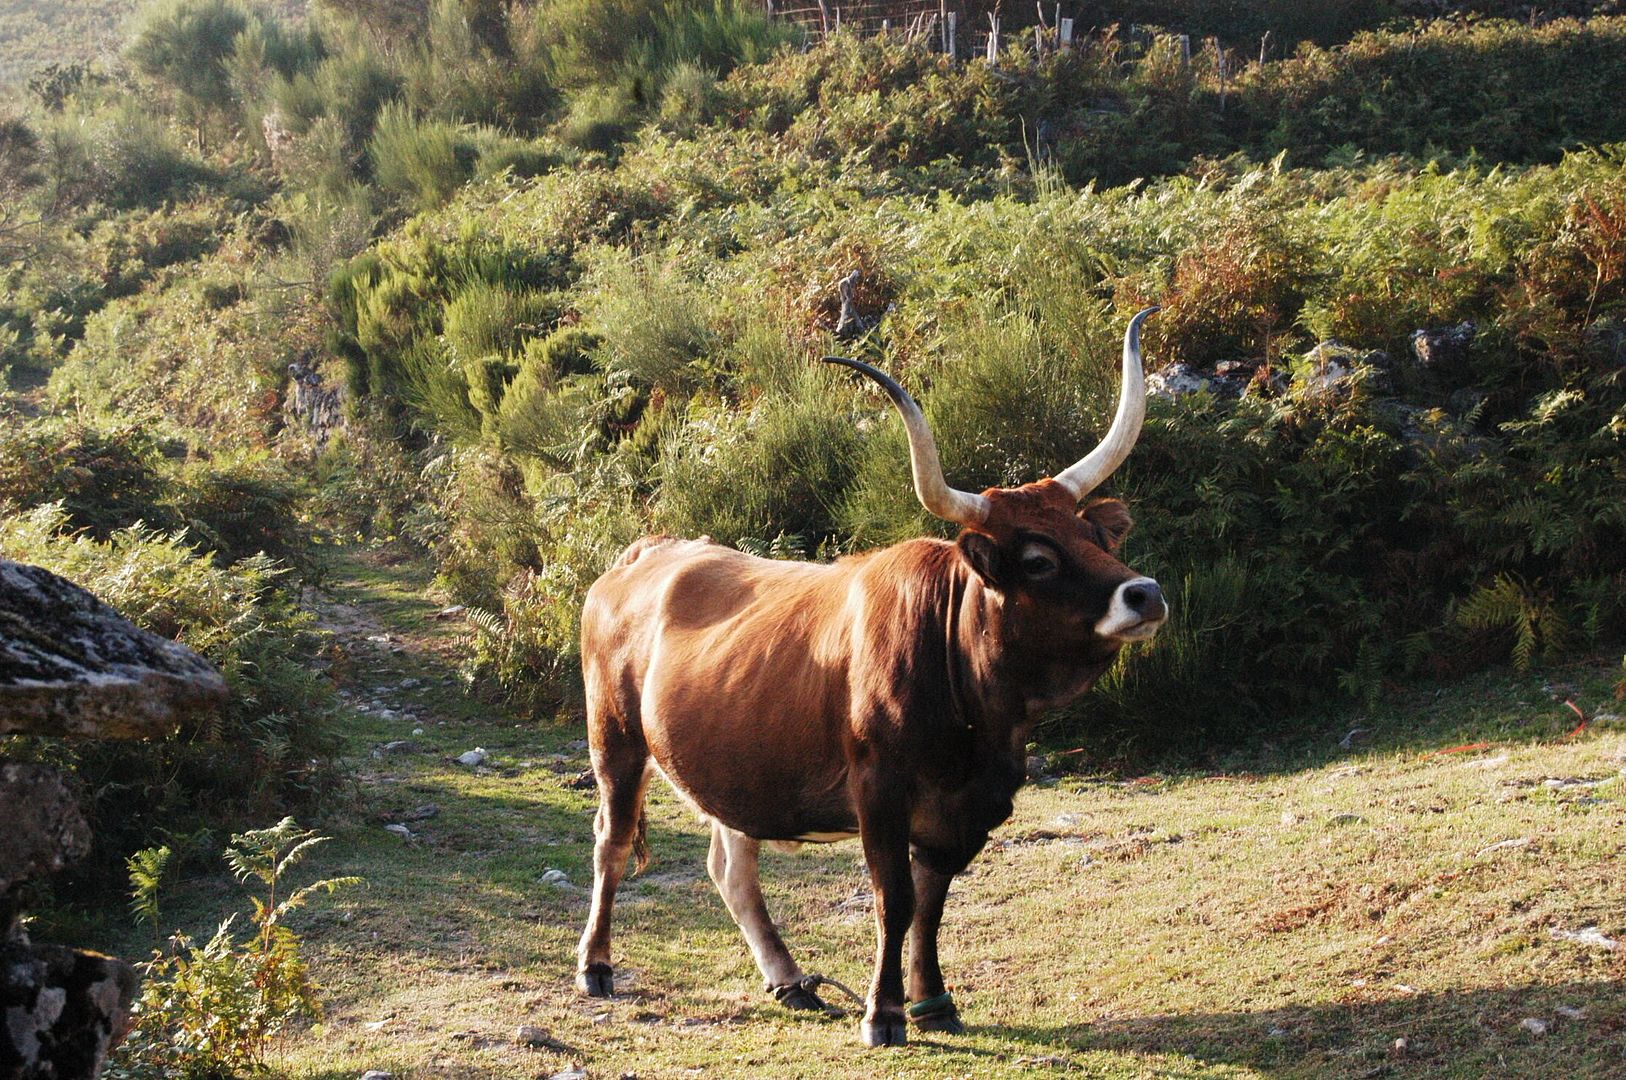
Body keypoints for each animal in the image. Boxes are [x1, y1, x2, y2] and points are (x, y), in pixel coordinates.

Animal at [574, 308, 1168, 1047]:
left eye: (1097, 538)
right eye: (1037, 559)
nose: (1145, 594)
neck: (978, 721)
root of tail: (645, 551)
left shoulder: (967, 810)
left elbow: (931, 902)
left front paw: (933, 1002)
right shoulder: (879, 790)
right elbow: (895, 899)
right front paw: (883, 1014)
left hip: (734, 762)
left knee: (731, 867)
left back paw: (790, 980)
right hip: (616, 742)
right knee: (611, 842)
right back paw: (595, 967)